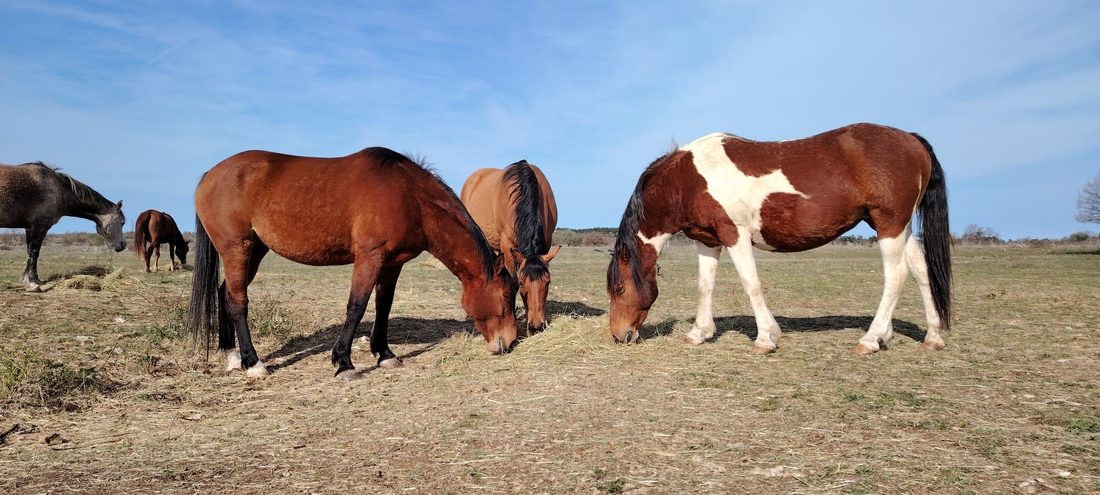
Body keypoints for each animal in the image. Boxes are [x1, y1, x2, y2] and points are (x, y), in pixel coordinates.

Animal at [0, 161, 126, 291]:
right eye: (122, 222)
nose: (123, 245)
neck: (58, 189)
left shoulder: (29, 227)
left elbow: (30, 253)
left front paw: (34, 280)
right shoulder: (39, 226)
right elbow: (34, 252)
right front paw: (32, 283)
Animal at [188, 147, 518, 380]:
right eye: (505, 296)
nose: (511, 342)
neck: (409, 196)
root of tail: (209, 174)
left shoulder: (392, 264)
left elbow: (383, 306)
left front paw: (385, 354)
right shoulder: (370, 256)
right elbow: (357, 306)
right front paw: (344, 362)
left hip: (254, 251)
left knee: (224, 293)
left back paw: (232, 356)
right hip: (237, 249)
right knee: (238, 301)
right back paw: (253, 363)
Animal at [460, 160, 560, 335]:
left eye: (548, 283)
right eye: (522, 283)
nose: (536, 326)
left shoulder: (546, 244)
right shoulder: (507, 246)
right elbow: (511, 283)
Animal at [606, 123, 951, 354]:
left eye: (619, 288)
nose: (619, 335)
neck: (688, 180)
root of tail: (911, 139)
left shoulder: (734, 234)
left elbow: (751, 283)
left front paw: (765, 338)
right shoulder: (708, 240)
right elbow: (705, 285)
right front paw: (699, 333)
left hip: (889, 224)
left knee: (896, 275)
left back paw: (870, 339)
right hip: (898, 226)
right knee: (920, 270)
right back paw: (928, 336)